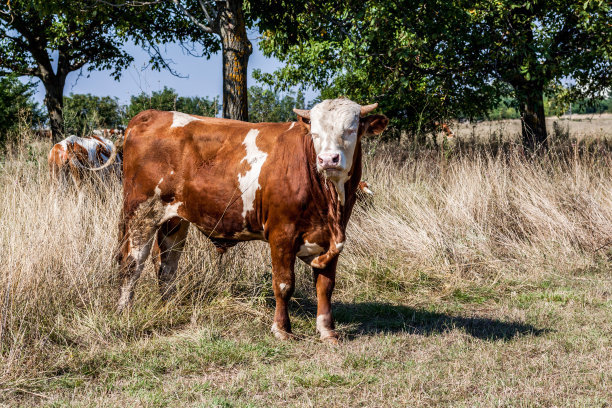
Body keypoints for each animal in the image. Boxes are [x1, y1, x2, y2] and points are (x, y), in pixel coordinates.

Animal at [106, 100, 388, 342]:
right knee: (132, 263)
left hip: (174, 219)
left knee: (167, 264)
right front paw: (282, 330)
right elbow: (284, 284)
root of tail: (150, 115)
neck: (330, 203)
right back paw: (123, 312)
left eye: (350, 129)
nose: (328, 159)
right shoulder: (281, 234)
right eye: (315, 134)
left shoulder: (331, 240)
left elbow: (325, 286)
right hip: (141, 212)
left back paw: (170, 307)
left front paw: (327, 331)